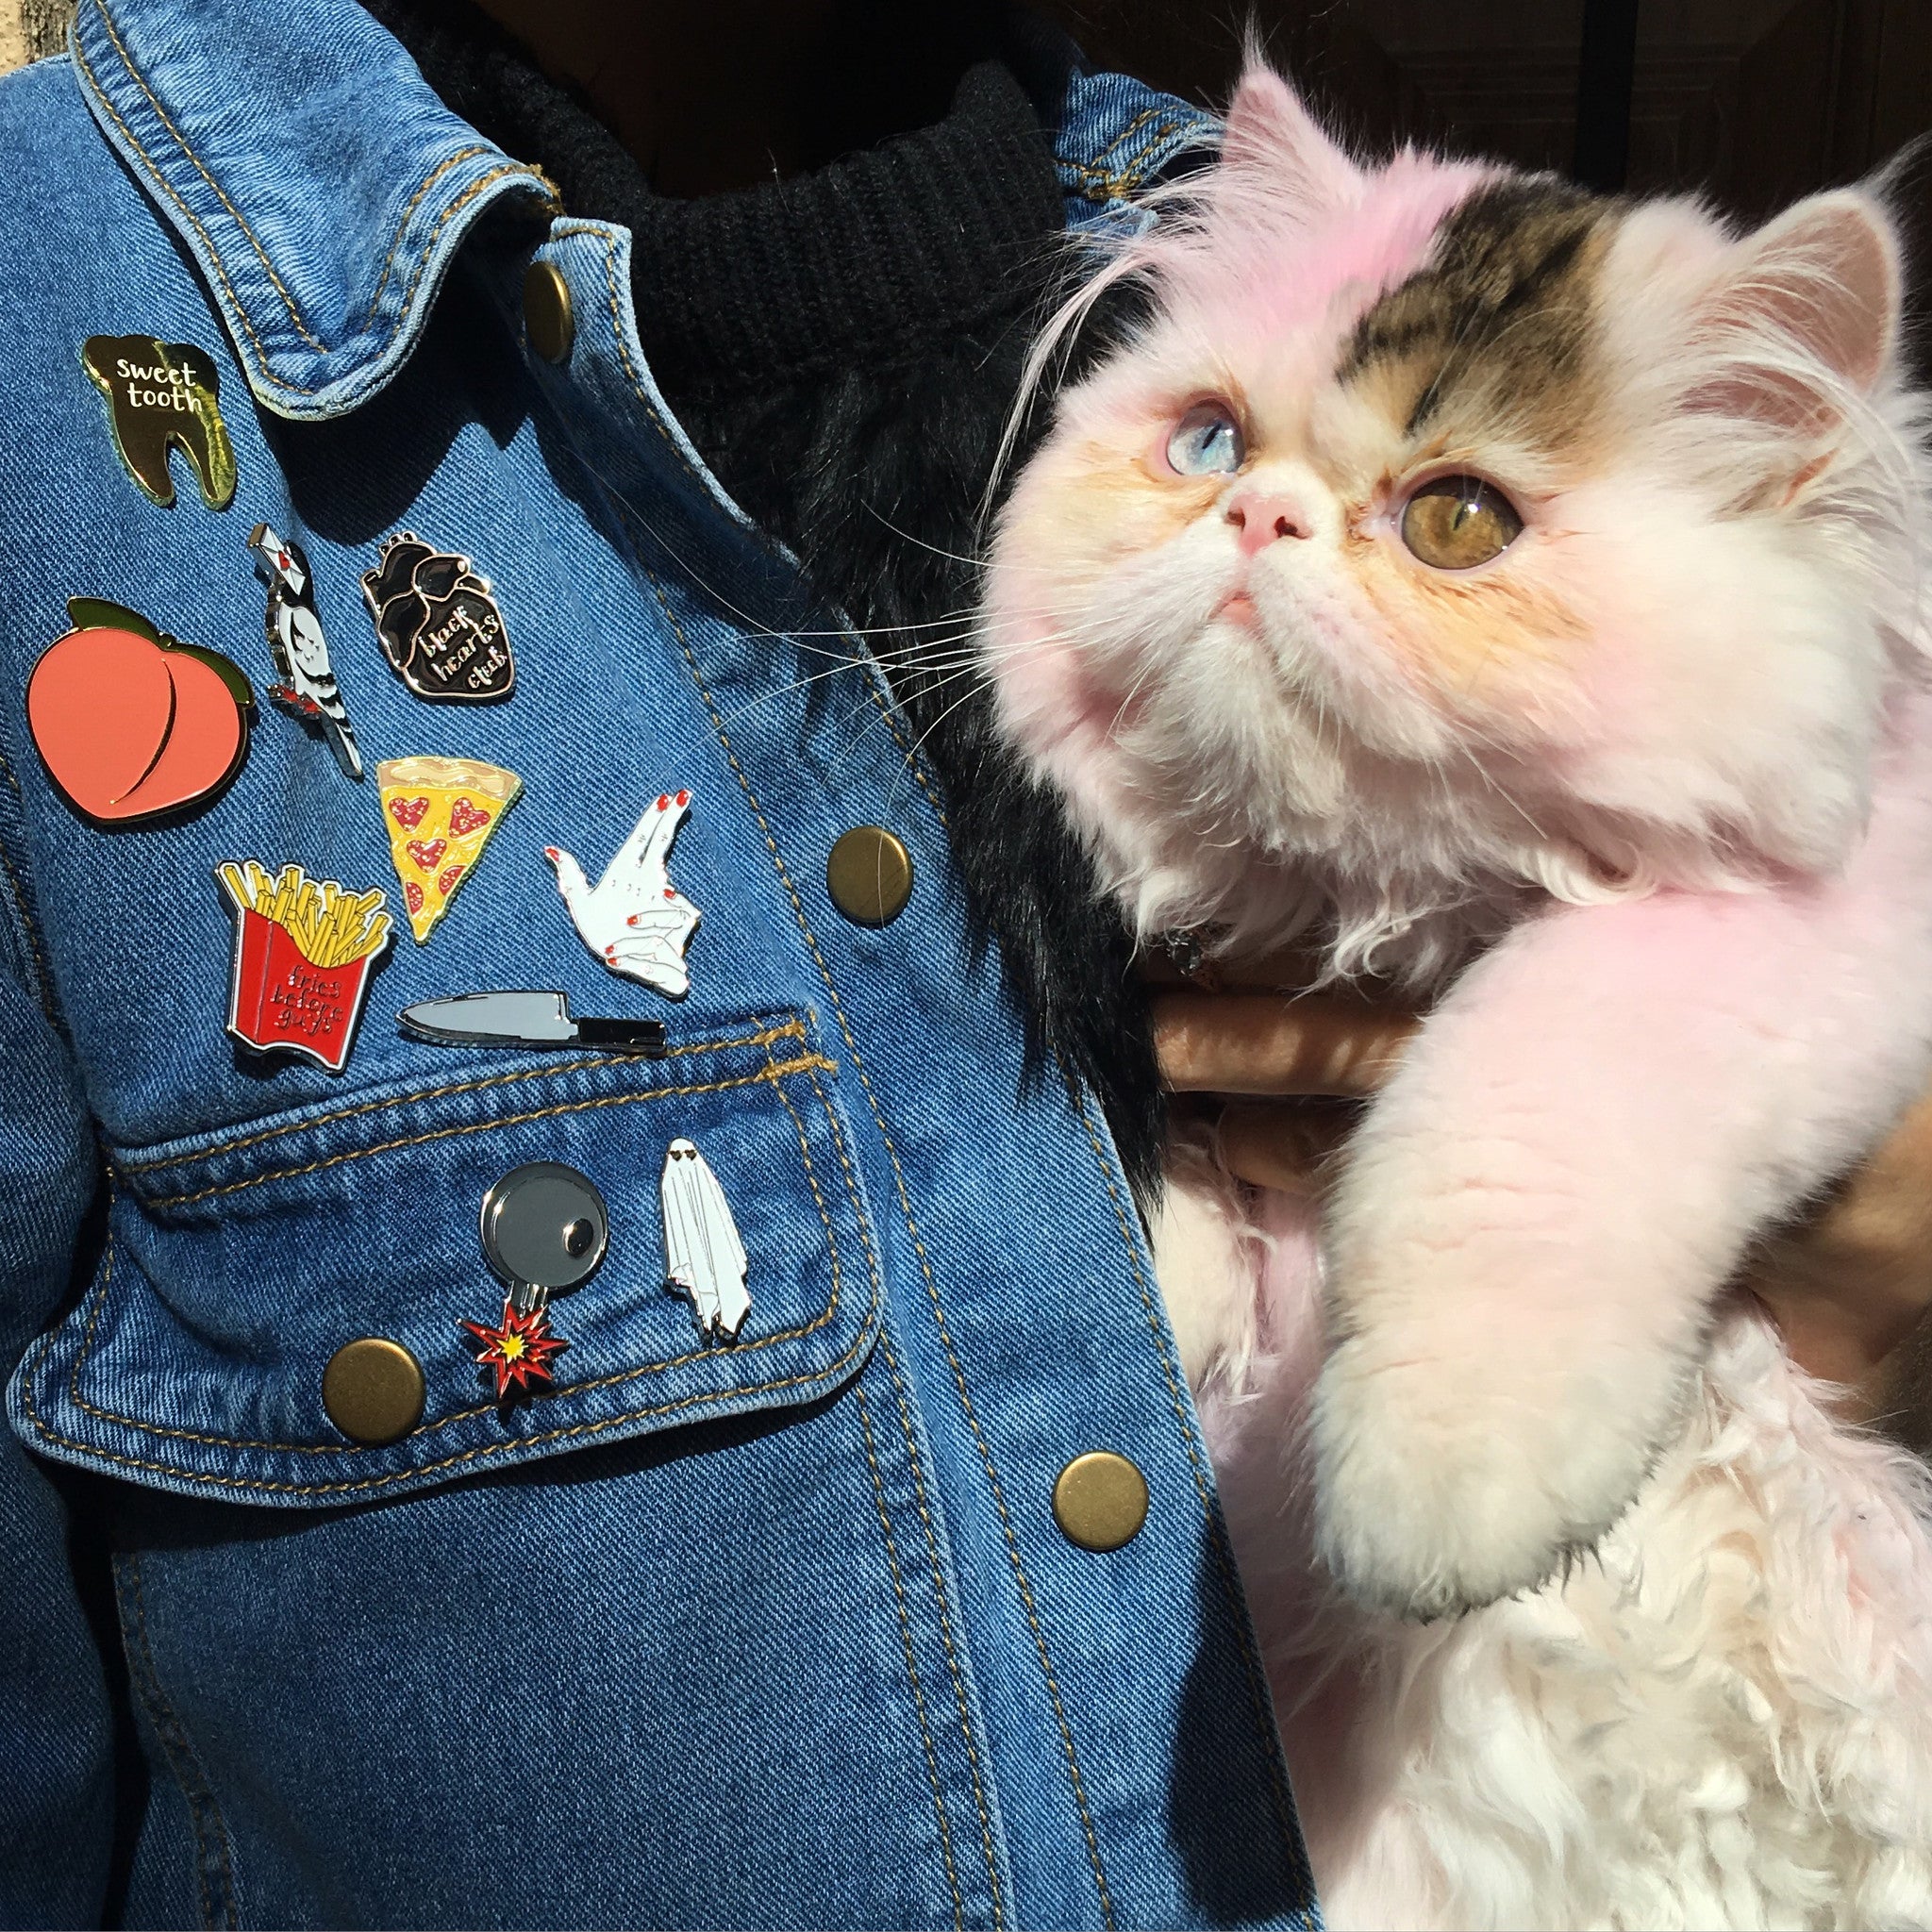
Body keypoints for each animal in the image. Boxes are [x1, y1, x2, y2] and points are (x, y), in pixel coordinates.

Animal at [978, 63, 1932, 1929]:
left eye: (1455, 523)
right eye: (1208, 445)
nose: (1256, 518)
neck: (1367, 912)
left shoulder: (1797, 922)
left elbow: (1505, 1110)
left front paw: (1433, 1477)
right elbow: (1158, 1181)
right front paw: (1184, 1280)